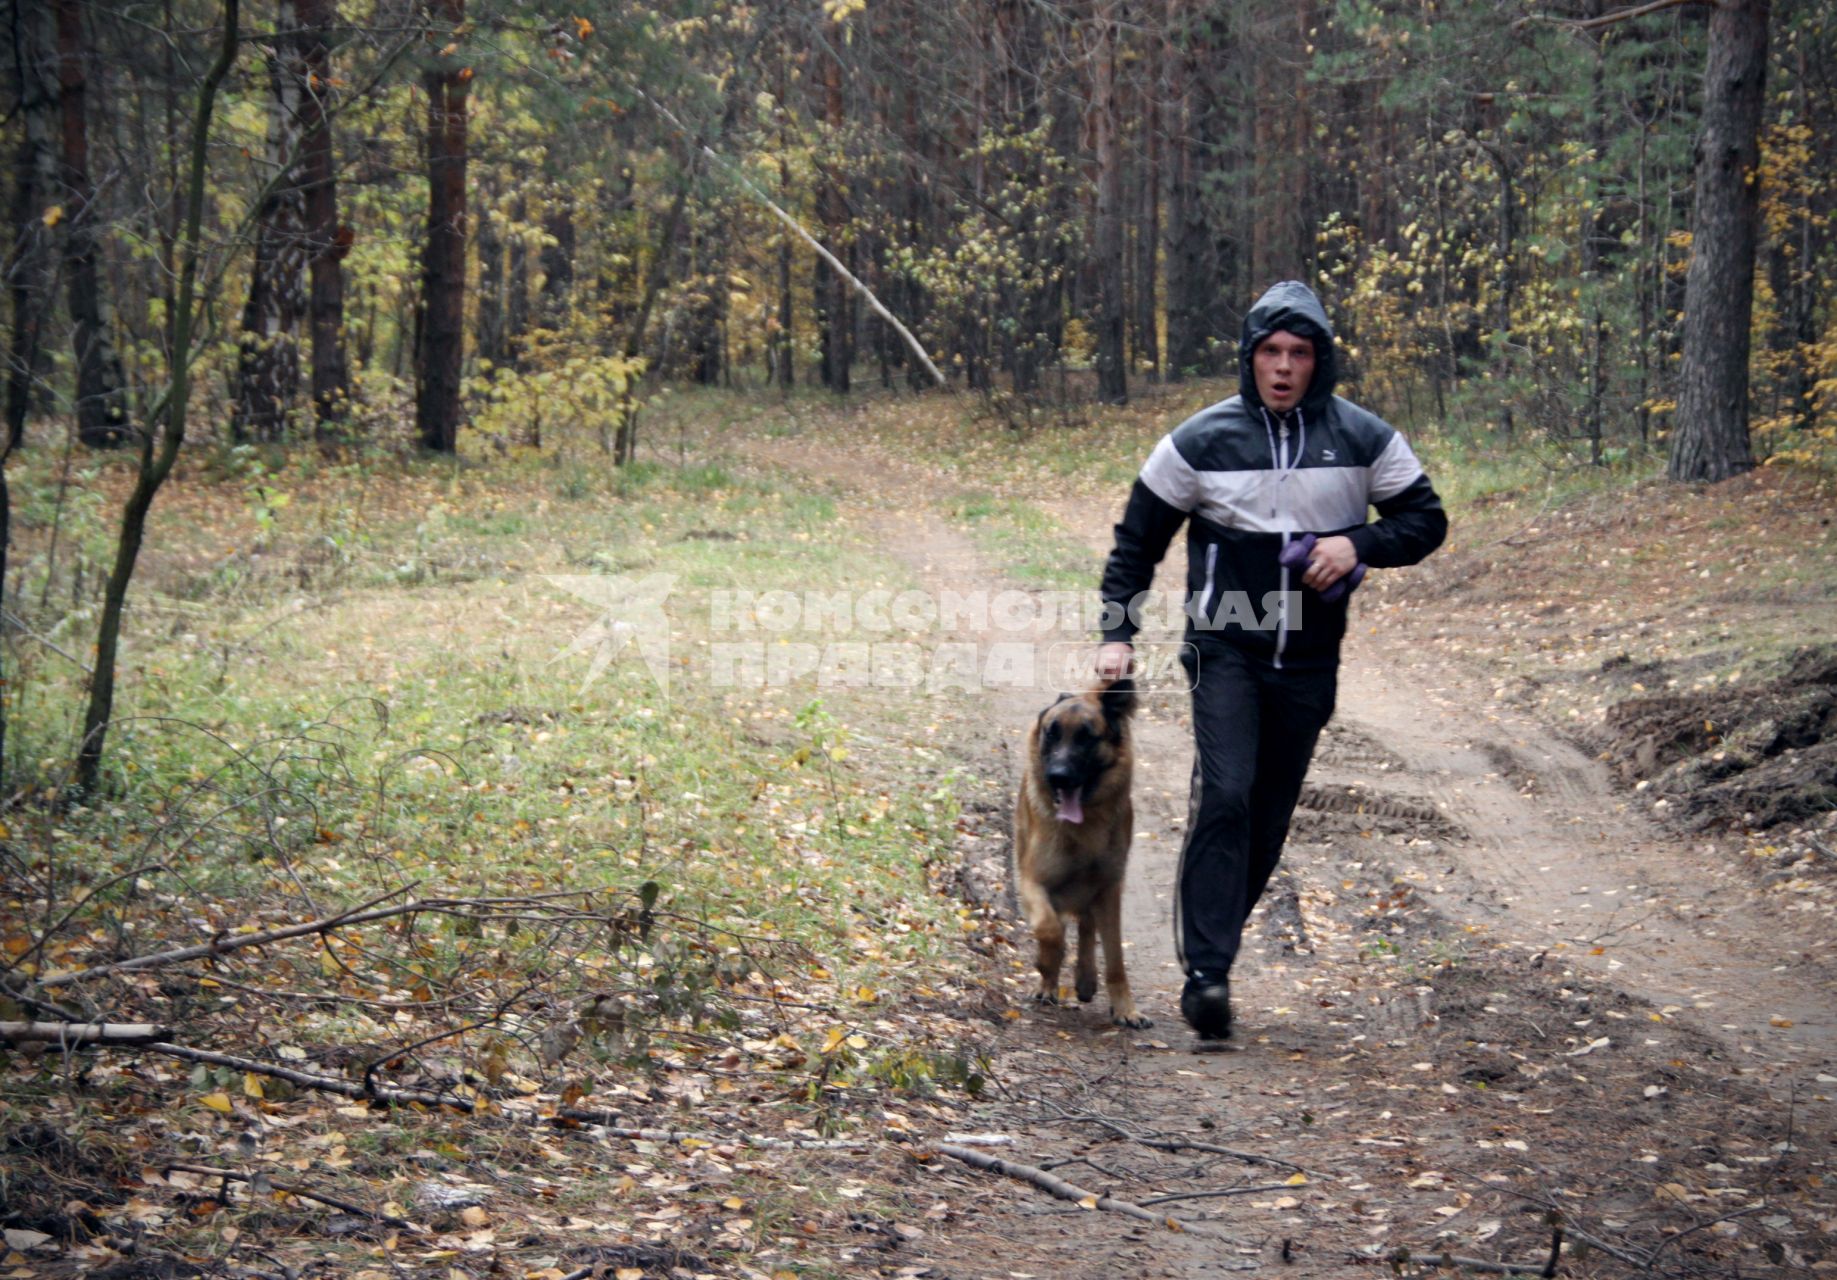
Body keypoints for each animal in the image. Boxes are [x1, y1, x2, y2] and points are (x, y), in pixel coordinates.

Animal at [1014, 679, 1153, 1028]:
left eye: (1087, 737)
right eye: (1051, 733)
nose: (1058, 776)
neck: (1082, 829)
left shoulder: (1109, 888)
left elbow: (1115, 958)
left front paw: (1126, 1008)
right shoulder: (1032, 882)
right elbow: (1049, 929)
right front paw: (1046, 966)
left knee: (1088, 925)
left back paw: (1086, 977)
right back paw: (1052, 983)